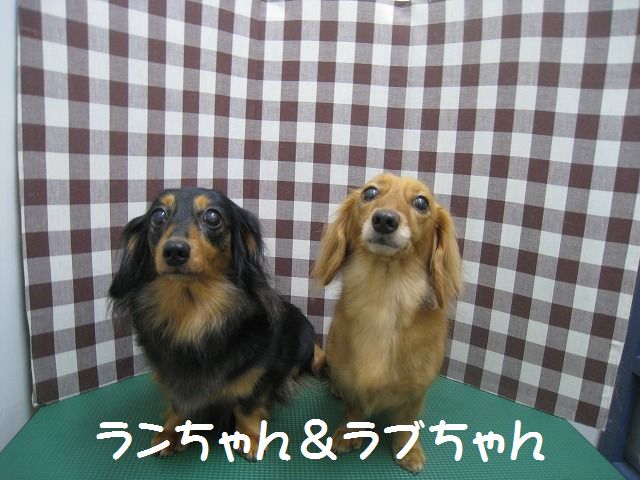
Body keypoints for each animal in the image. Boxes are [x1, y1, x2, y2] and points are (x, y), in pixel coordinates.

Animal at [109, 188, 321, 459]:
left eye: (213, 217)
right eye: (158, 216)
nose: (174, 250)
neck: (194, 315)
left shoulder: (257, 372)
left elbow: (246, 405)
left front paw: (249, 437)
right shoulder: (171, 376)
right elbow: (178, 404)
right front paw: (171, 431)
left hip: (304, 339)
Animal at [312, 173, 462, 473]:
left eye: (421, 202)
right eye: (369, 193)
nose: (384, 219)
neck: (385, 294)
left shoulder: (417, 390)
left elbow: (406, 422)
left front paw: (408, 450)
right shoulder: (353, 380)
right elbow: (353, 408)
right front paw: (348, 434)